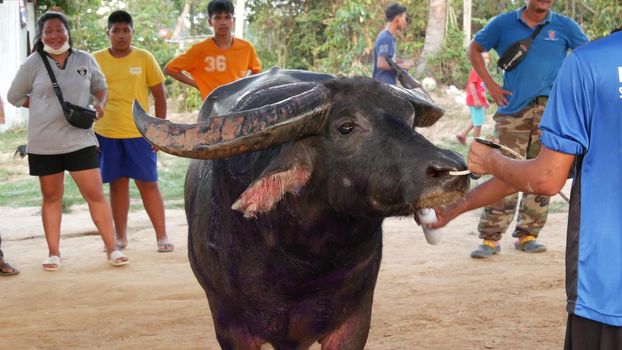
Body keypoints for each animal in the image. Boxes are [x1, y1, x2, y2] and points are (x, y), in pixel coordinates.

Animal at [134, 67, 470, 348]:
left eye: (410, 119)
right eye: (346, 127)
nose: (451, 168)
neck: (302, 261)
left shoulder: (354, 322)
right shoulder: (232, 328)